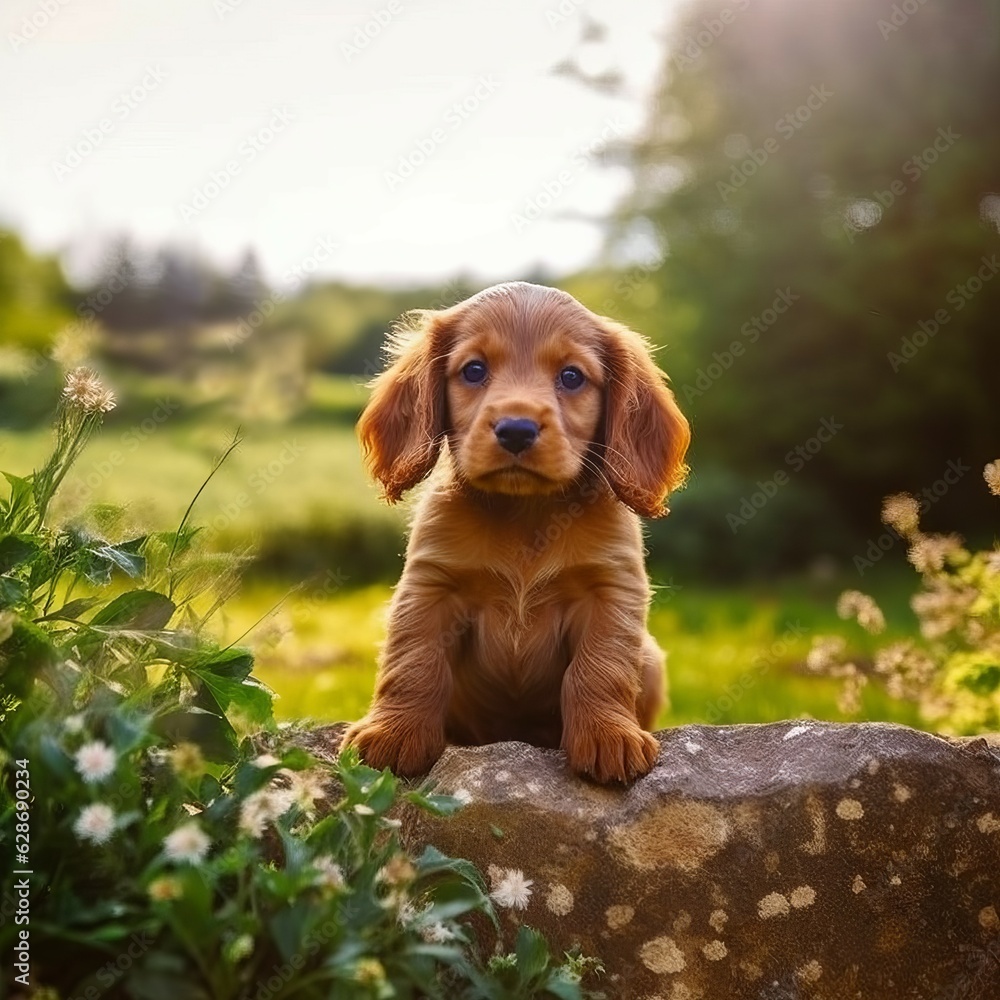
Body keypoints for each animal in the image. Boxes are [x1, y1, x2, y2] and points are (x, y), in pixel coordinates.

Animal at [340, 280, 692, 780]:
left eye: (571, 376)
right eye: (473, 370)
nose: (517, 430)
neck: (527, 515)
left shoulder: (610, 591)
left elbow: (600, 667)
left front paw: (609, 735)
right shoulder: (430, 587)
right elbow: (412, 659)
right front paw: (394, 733)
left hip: (653, 659)